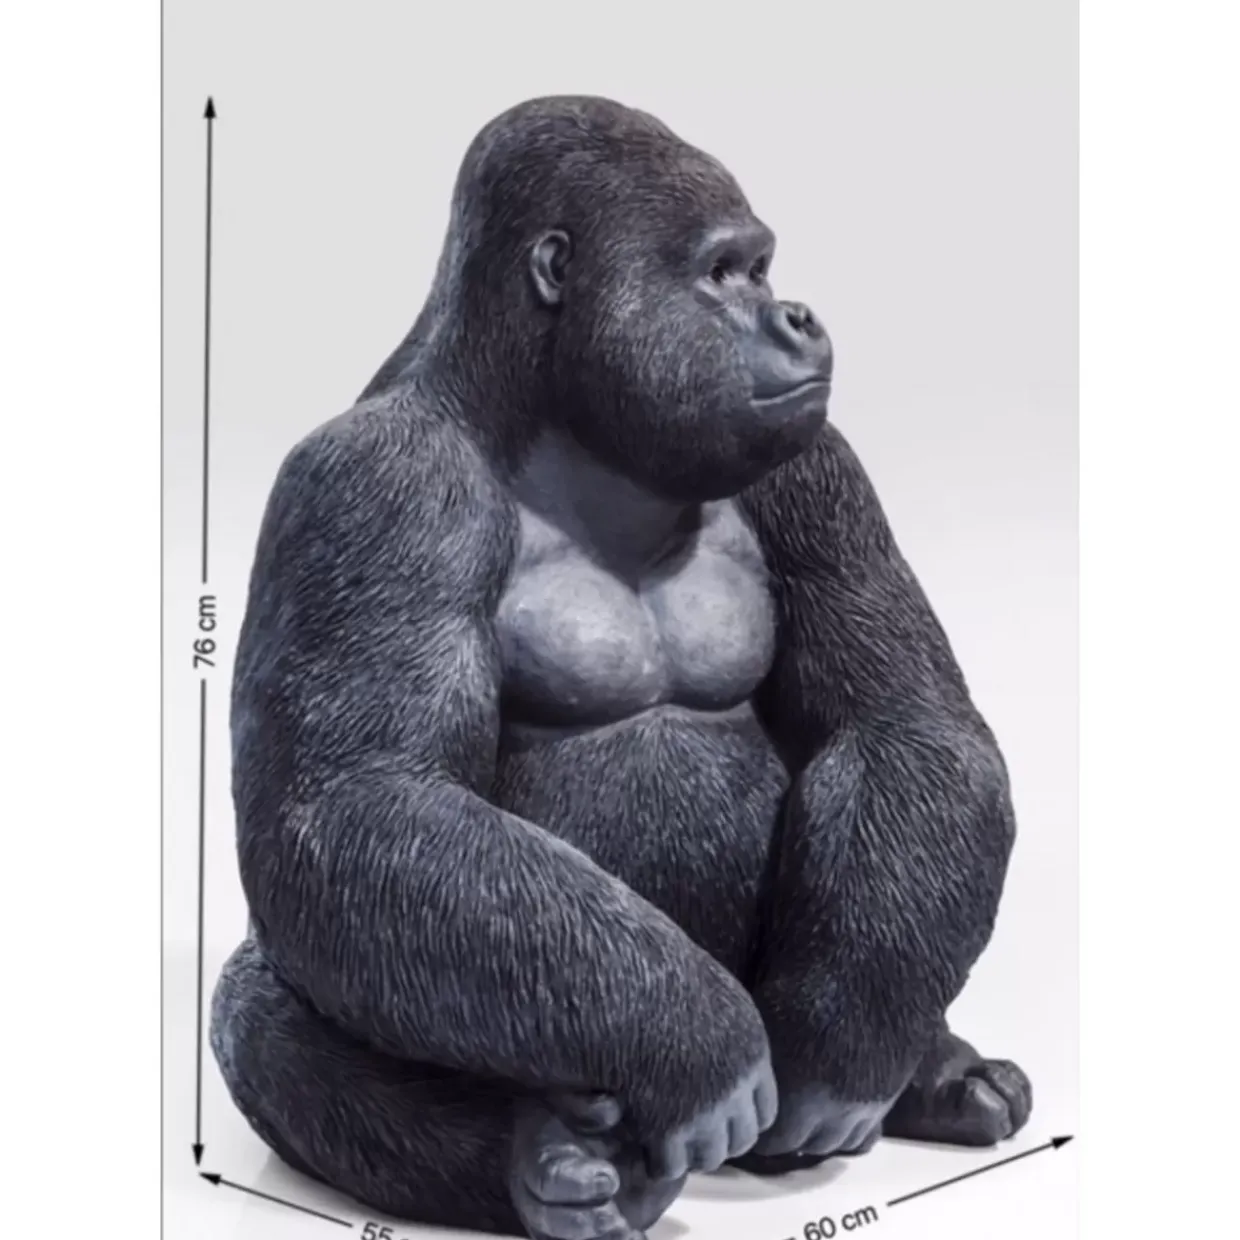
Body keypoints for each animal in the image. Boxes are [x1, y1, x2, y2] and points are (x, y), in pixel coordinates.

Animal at [211, 95, 1031, 1240]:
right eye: (726, 273)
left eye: (762, 269)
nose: (798, 316)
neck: (547, 414)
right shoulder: (375, 484)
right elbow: (352, 806)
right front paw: (698, 1047)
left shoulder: (820, 469)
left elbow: (908, 725)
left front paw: (842, 1050)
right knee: (256, 1005)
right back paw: (540, 1159)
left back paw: (935, 1070)